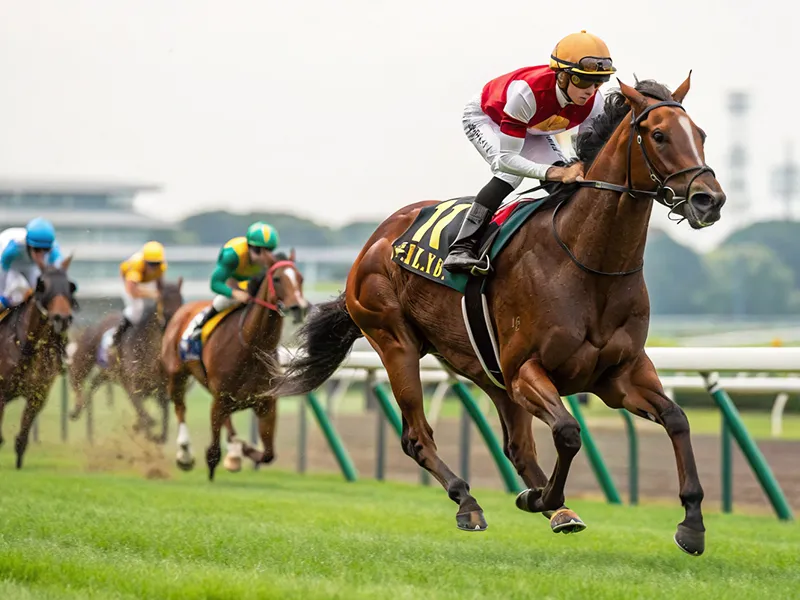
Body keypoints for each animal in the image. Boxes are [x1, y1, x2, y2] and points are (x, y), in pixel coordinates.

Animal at [0, 259, 78, 468]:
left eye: (70, 286)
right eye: (42, 286)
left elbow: (21, 440)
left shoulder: (37, 395)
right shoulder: (1, 393)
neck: (27, 347)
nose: (62, 318)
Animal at [68, 278, 185, 443]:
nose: (174, 324)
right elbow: (145, 417)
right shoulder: (133, 388)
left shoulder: (160, 391)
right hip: (86, 355)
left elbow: (163, 426)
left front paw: (151, 434)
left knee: (93, 383)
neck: (146, 350)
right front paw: (144, 428)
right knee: (77, 377)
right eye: (163, 300)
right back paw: (76, 410)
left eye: (180, 300)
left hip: (108, 373)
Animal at [161, 251, 309, 479]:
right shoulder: (220, 397)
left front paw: (243, 449)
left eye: (300, 278)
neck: (252, 347)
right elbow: (213, 450)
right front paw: (222, 457)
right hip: (177, 374)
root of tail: (183, 309)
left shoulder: (266, 403)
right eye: (277, 279)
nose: (299, 307)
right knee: (180, 407)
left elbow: (268, 454)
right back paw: (185, 454)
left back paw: (234, 452)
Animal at [268, 75, 726, 556]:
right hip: (396, 342)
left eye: (700, 134)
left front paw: (692, 523)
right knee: (417, 436)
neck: (587, 261)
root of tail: (375, 240)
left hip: (487, 370)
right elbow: (568, 431)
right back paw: (469, 502)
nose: (708, 200)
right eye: (658, 135)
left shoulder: (619, 374)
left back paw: (551, 507)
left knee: (517, 447)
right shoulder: (527, 369)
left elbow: (676, 419)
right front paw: (541, 497)